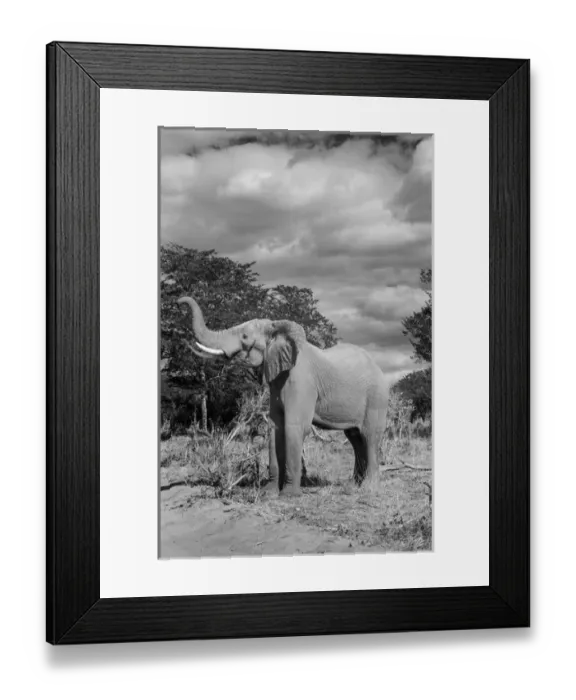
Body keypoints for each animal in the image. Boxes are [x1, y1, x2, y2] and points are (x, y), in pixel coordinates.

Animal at [178, 296, 389, 498]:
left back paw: (368, 489)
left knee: (369, 436)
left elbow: (293, 427)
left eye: (245, 336)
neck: (276, 330)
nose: (179, 301)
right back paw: (354, 485)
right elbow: (275, 428)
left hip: (377, 396)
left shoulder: (301, 381)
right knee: (355, 438)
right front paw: (269, 493)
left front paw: (289, 495)